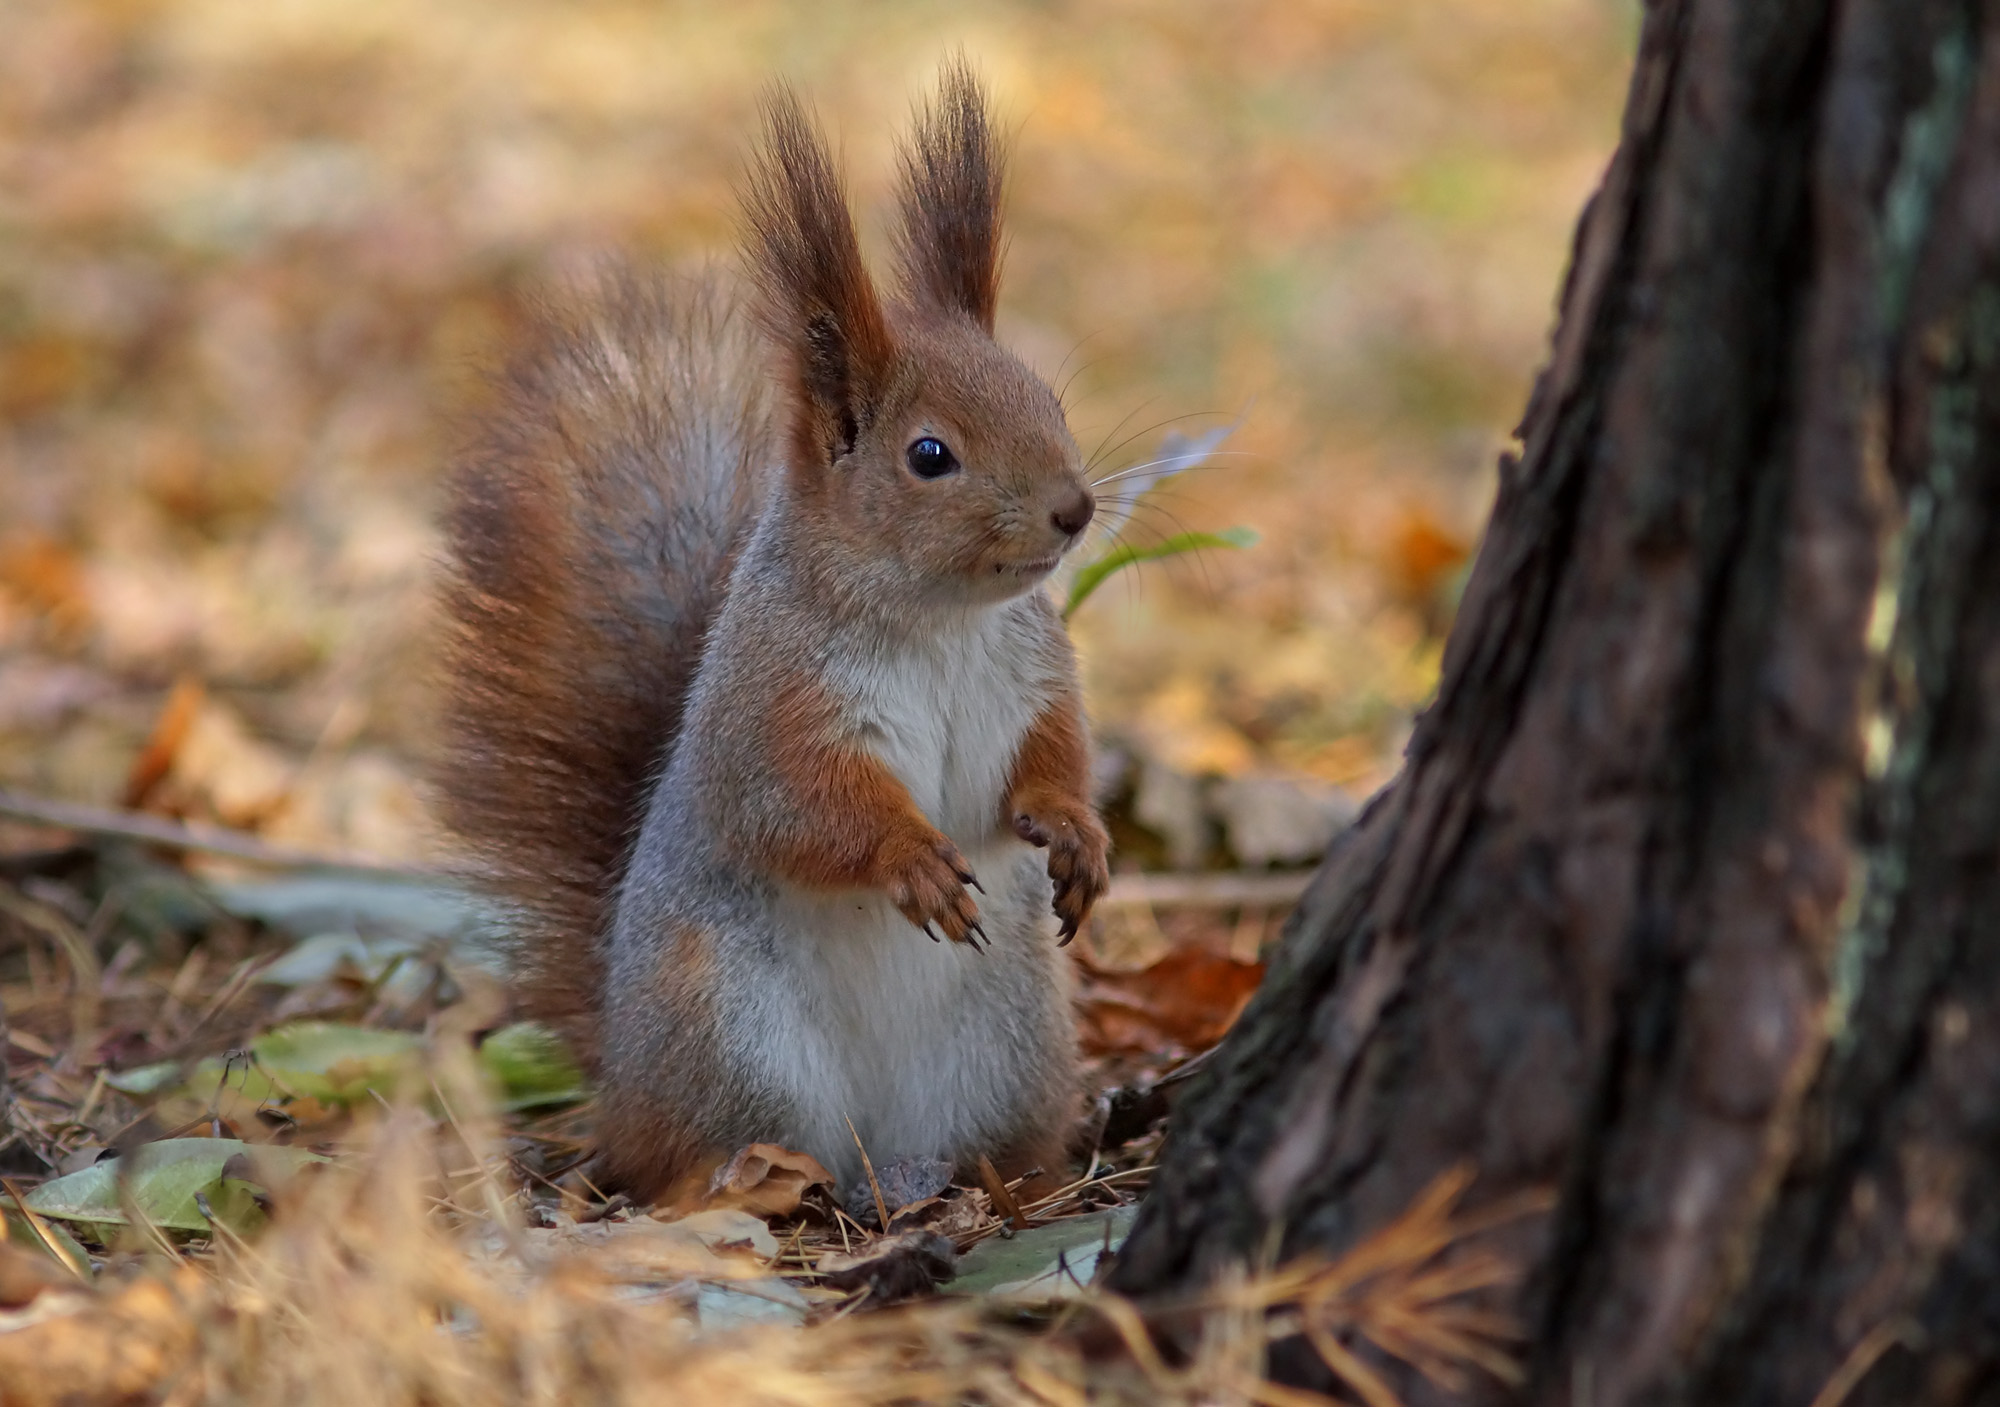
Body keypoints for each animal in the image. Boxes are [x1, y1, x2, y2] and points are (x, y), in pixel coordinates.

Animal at [438, 57, 1120, 1199]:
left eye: (1048, 401)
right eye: (929, 455)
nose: (1073, 508)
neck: (939, 622)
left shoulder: (1033, 674)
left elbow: (1050, 759)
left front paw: (1075, 831)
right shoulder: (774, 699)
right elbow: (797, 804)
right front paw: (908, 858)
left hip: (1010, 1043)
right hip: (728, 1031)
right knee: (694, 1157)